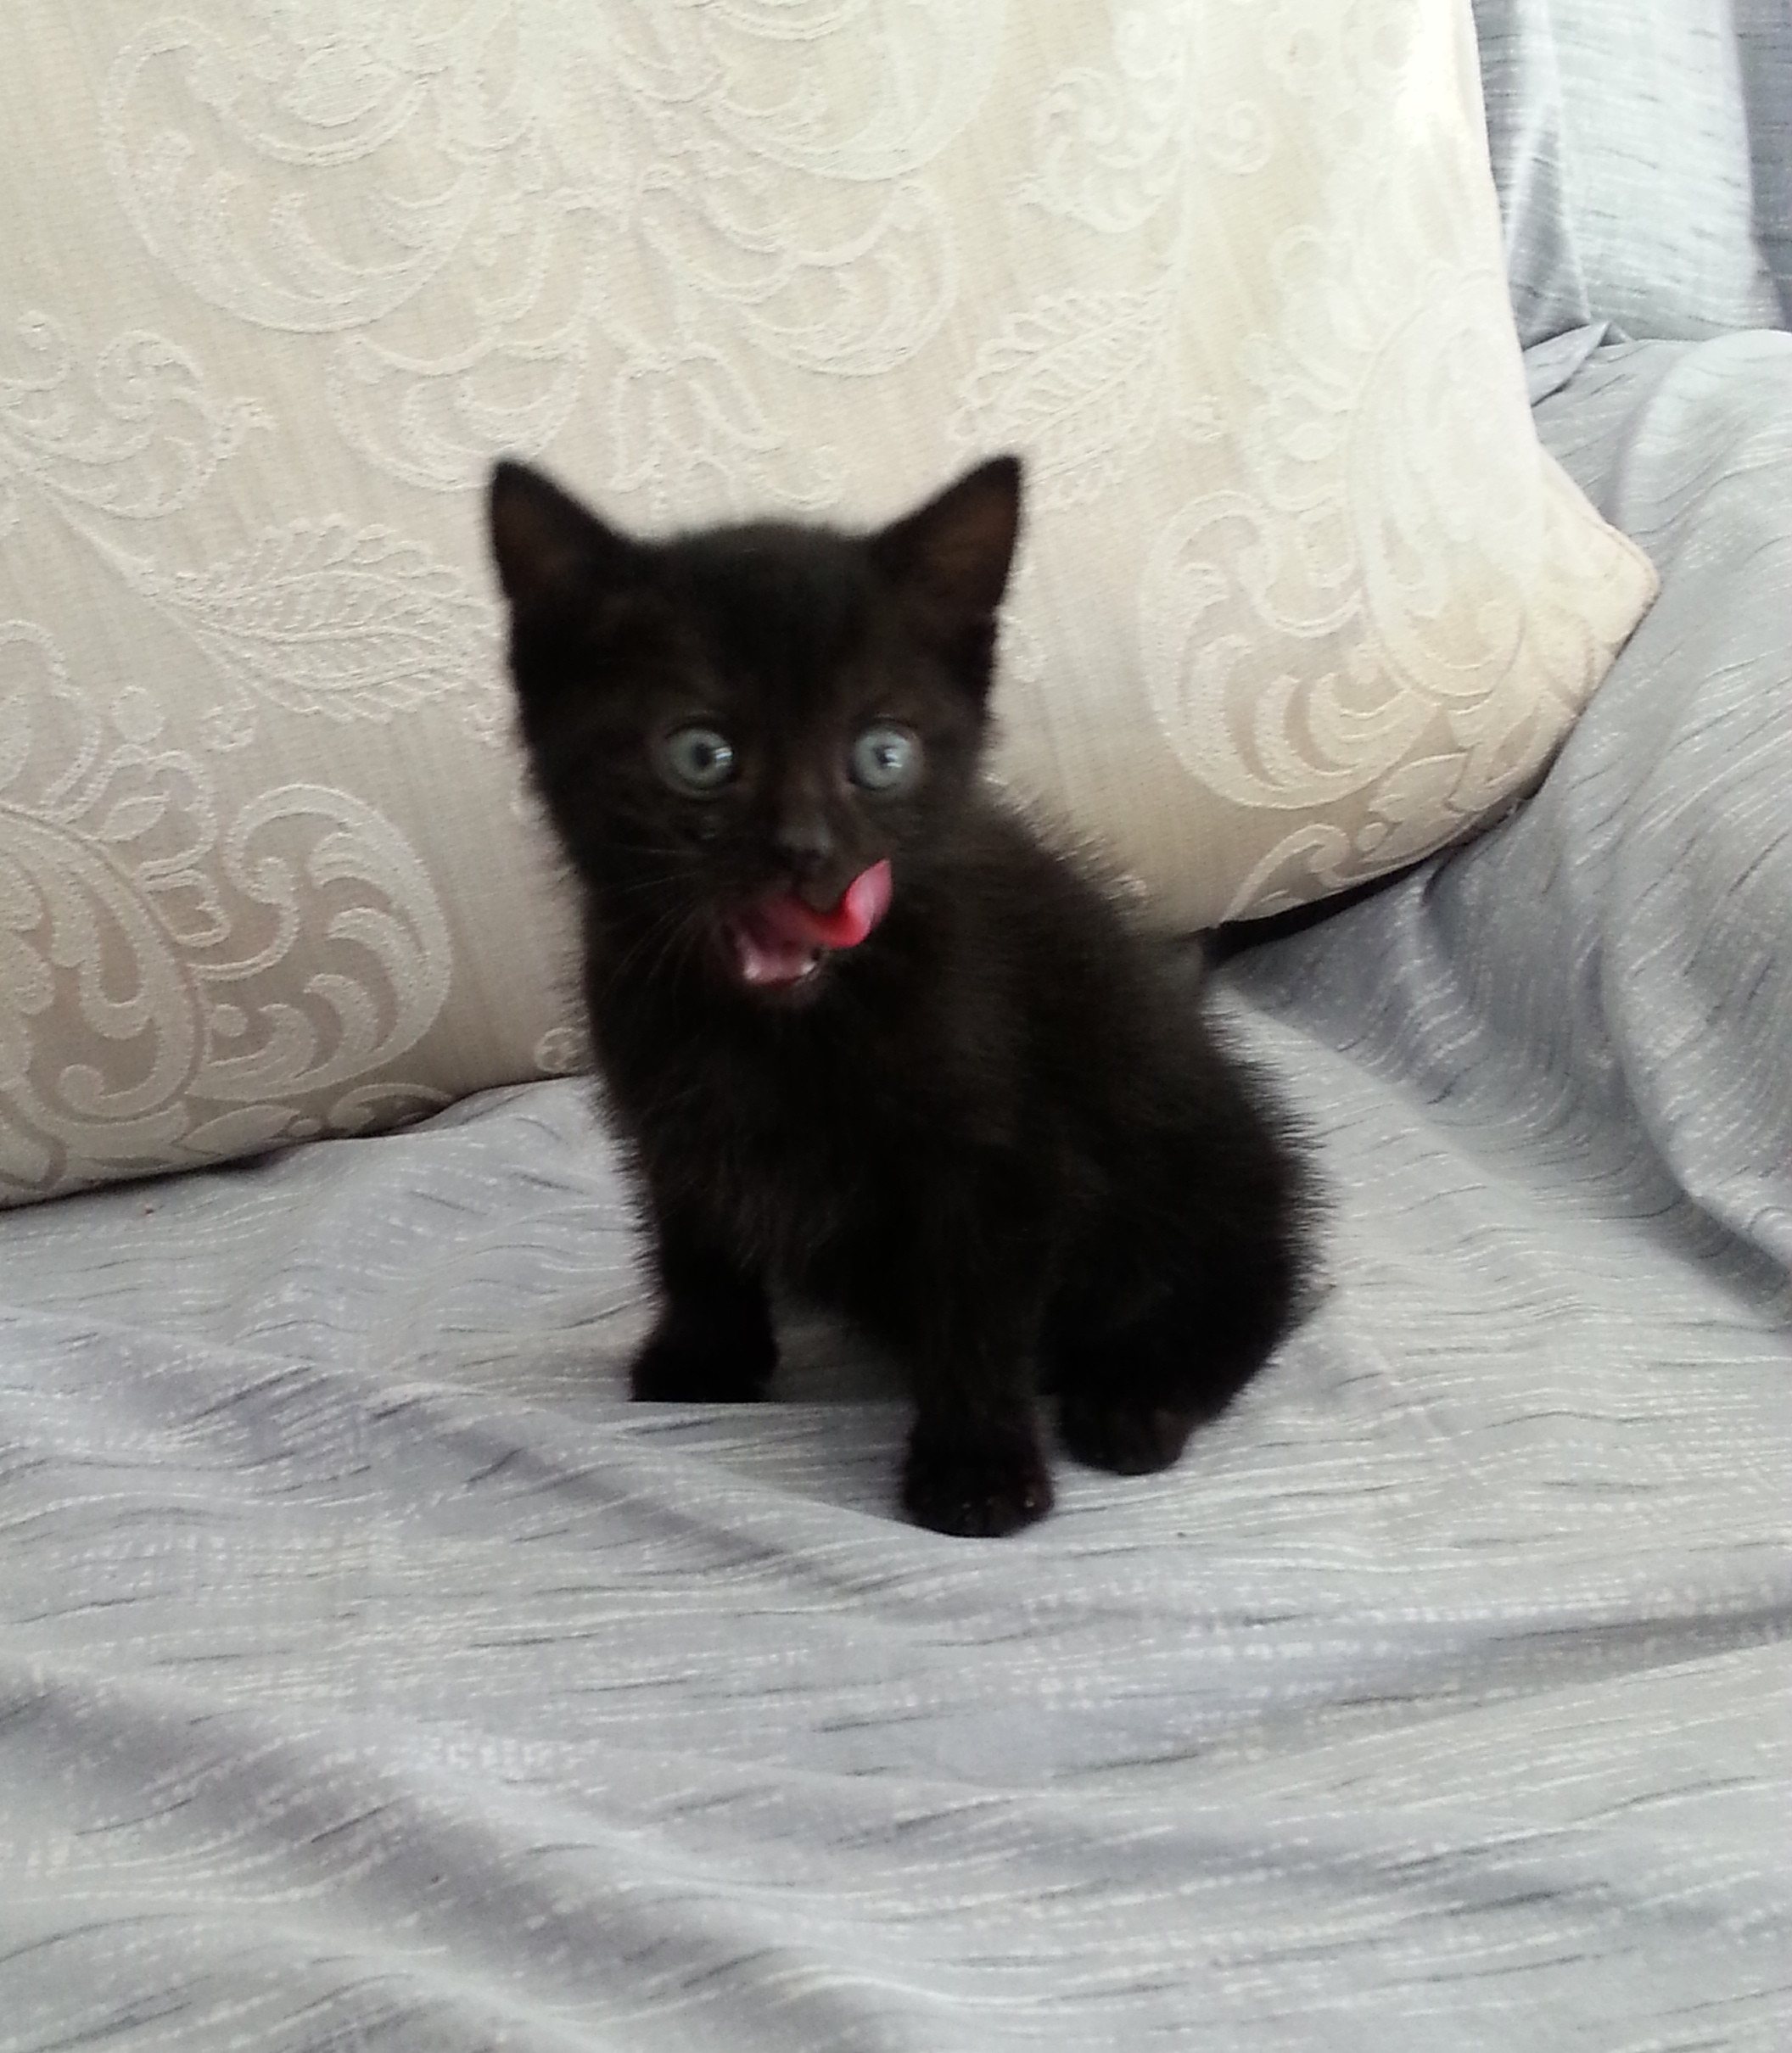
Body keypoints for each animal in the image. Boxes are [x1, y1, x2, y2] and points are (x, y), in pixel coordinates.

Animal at [488, 454, 1312, 1536]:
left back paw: (1138, 1395)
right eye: (701, 754)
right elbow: (692, 1231)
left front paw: (978, 1469)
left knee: (1252, 1290)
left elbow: (975, 1307)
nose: (805, 851)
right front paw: (705, 1356)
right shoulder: (666, 1108)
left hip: (1193, 1152)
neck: (774, 1034)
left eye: (882, 755)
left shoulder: (1001, 1150)